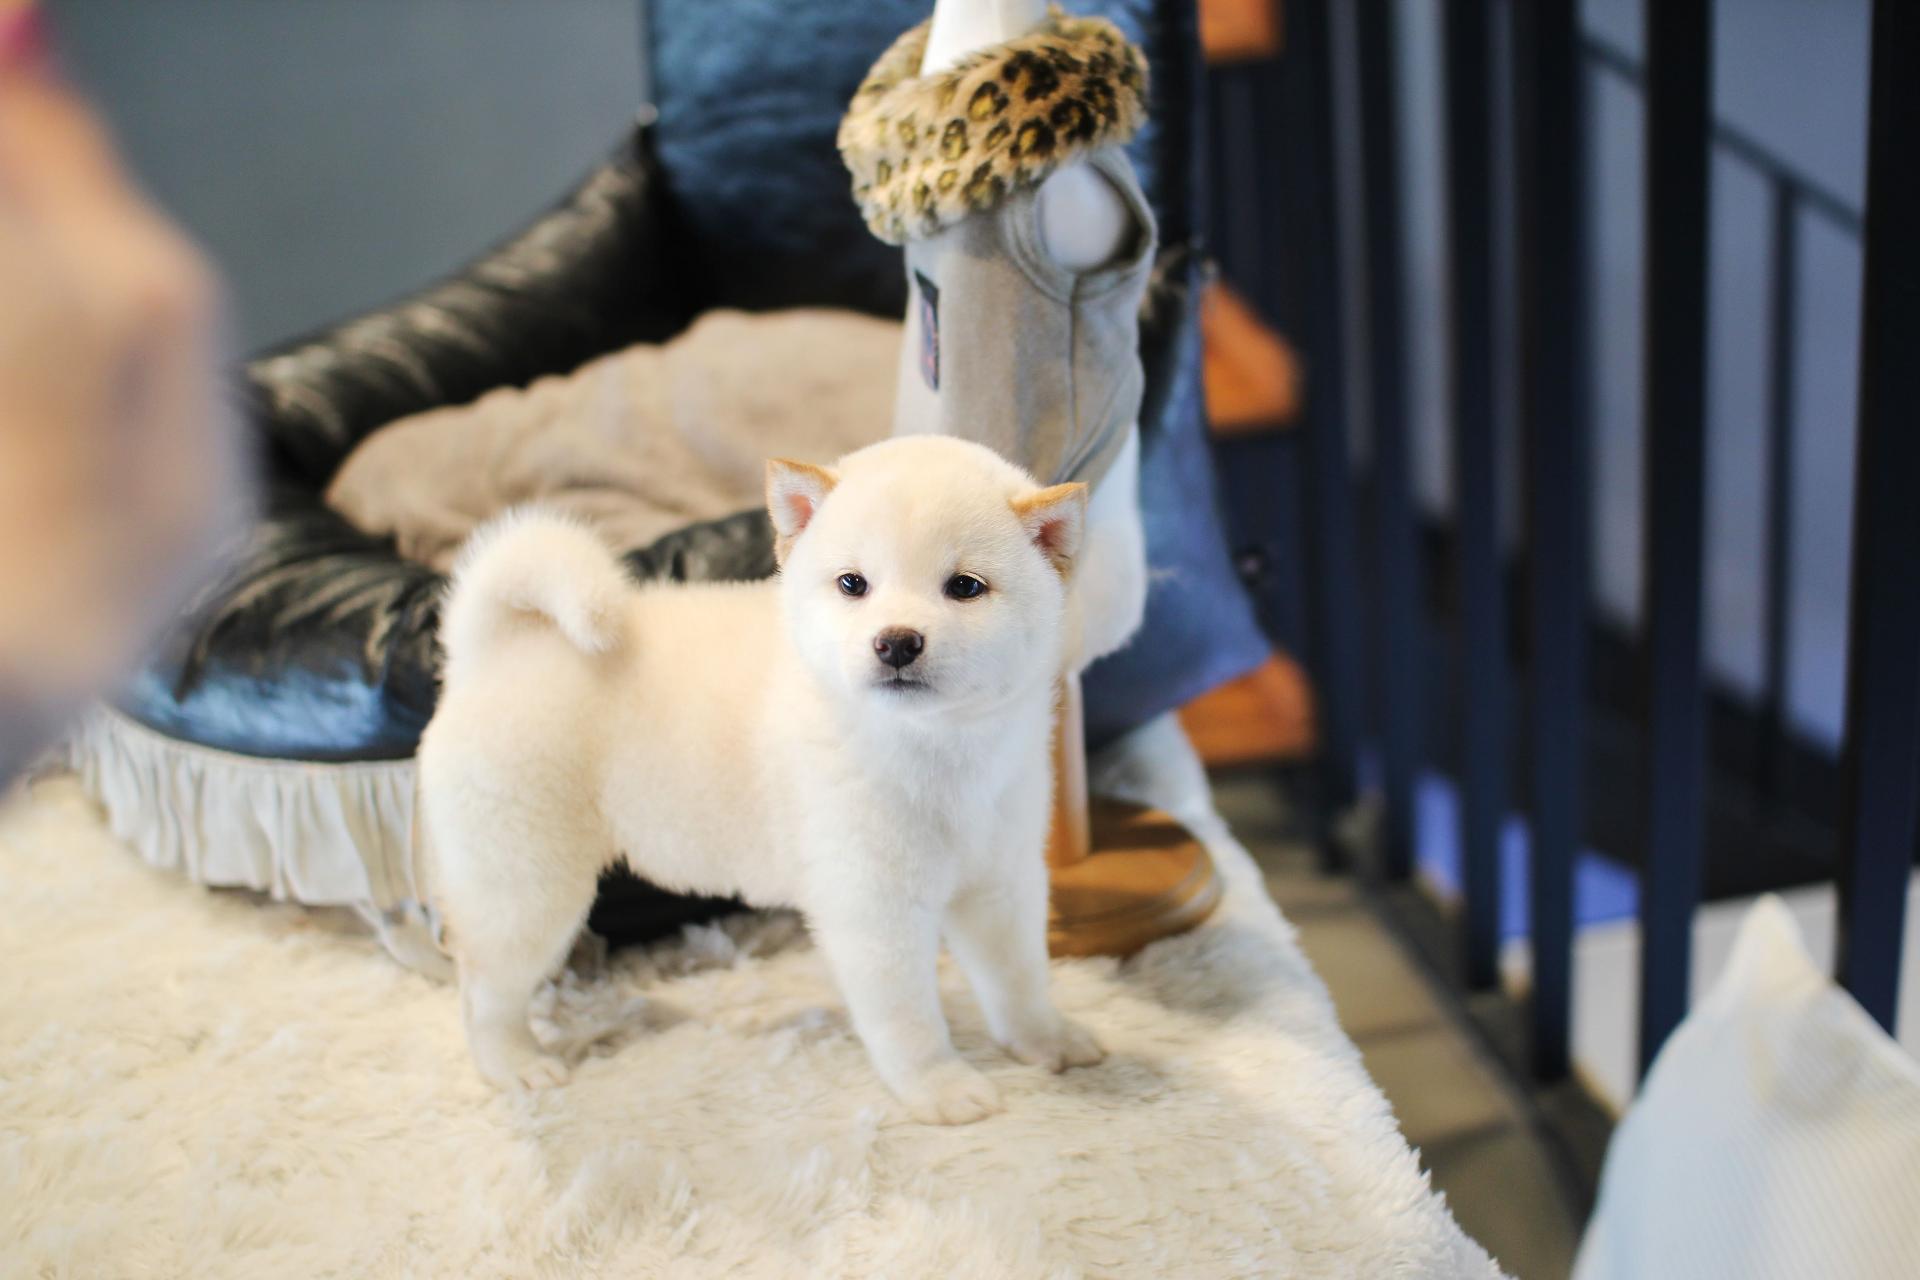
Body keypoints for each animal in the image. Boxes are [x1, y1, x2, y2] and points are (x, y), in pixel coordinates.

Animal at [418, 435, 1105, 1123]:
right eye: (853, 584)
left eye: (965, 586)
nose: (896, 642)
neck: (936, 747)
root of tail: (495, 651)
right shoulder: (874, 904)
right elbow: (907, 1018)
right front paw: (939, 1085)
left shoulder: (1001, 878)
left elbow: (1018, 976)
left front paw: (1045, 1040)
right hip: (527, 884)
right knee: (482, 990)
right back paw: (515, 1065)